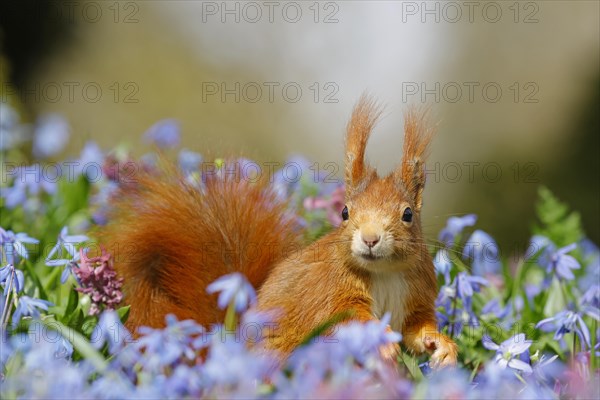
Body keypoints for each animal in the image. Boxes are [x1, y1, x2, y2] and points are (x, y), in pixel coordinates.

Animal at [96, 95, 458, 368]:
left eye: (407, 214)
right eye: (344, 212)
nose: (370, 238)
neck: (384, 273)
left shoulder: (416, 296)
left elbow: (417, 328)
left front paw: (442, 346)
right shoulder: (329, 294)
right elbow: (344, 320)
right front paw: (380, 341)